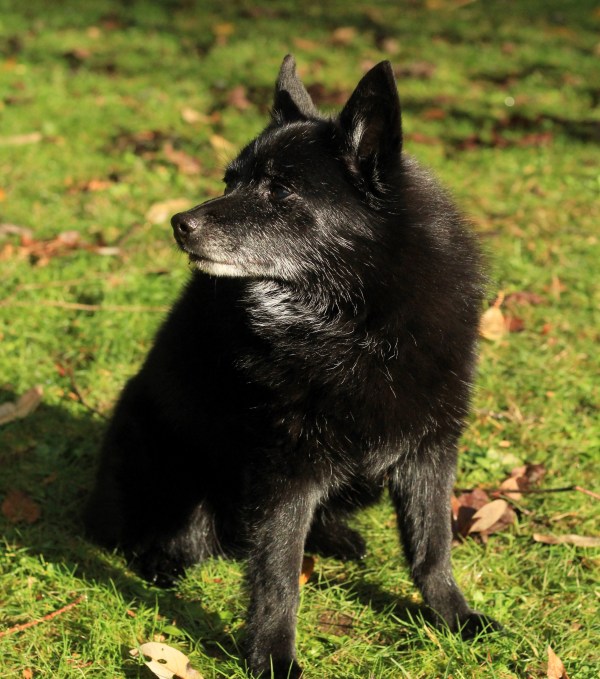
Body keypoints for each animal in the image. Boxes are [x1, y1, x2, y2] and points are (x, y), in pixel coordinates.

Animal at [85, 55, 499, 678]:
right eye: (230, 180)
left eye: (279, 189)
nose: (179, 222)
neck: (359, 327)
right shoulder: (286, 471)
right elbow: (277, 576)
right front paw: (273, 657)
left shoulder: (429, 452)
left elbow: (432, 550)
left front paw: (454, 617)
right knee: (166, 535)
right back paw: (161, 559)